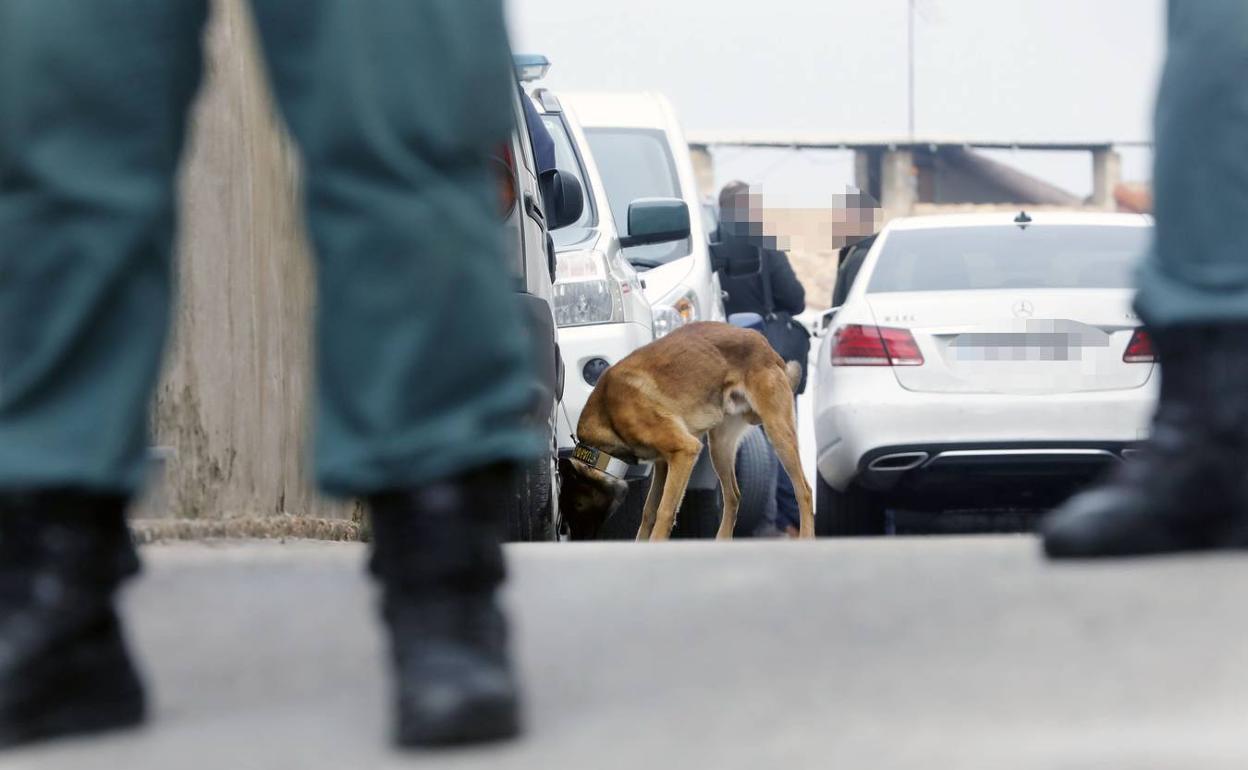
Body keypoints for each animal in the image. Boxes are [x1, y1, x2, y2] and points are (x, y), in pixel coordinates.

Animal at [561, 321, 813, 541]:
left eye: (577, 505)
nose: (577, 540)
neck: (607, 413)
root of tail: (764, 343)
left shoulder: (684, 451)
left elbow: (664, 511)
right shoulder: (663, 463)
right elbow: (648, 511)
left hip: (777, 433)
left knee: (804, 490)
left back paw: (806, 537)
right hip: (719, 448)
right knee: (733, 496)